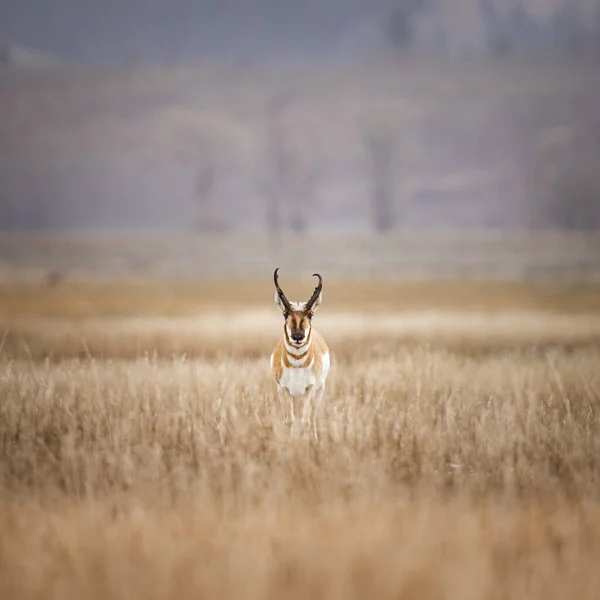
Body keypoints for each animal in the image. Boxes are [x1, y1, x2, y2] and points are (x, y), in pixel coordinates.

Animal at [270, 268, 330, 436]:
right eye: (285, 314)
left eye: (310, 315)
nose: (297, 337)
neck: (297, 364)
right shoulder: (284, 389)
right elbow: (289, 420)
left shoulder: (310, 389)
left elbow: (305, 421)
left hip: (319, 391)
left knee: (312, 419)